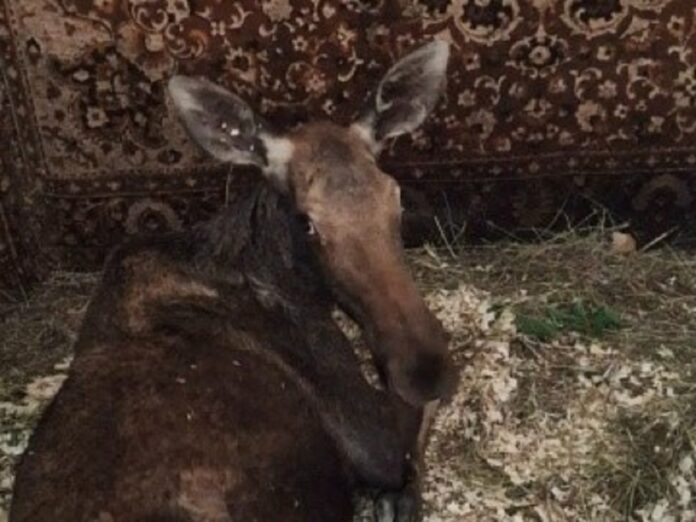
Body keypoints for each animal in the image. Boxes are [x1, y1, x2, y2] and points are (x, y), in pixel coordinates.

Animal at [10, 40, 455, 522]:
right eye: (307, 222)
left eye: (395, 196)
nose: (427, 367)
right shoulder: (369, 434)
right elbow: (411, 434)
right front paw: (401, 497)